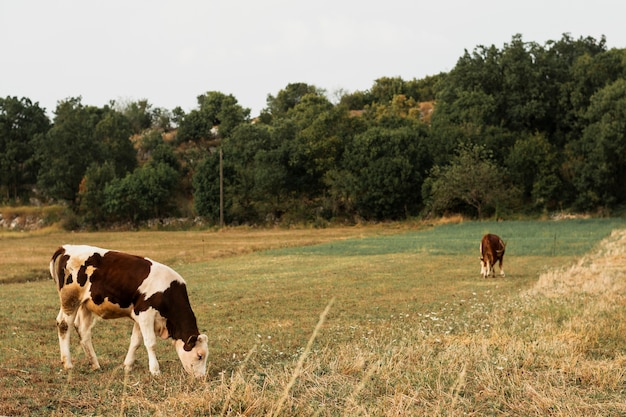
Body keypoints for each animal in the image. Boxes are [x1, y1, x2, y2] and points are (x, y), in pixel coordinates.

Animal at [48, 244, 208, 376]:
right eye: (200, 355)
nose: (202, 377)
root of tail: (68, 247)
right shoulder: (145, 313)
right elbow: (150, 342)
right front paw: (155, 370)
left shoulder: (139, 316)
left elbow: (135, 341)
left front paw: (127, 366)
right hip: (70, 299)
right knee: (64, 324)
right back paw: (68, 364)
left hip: (85, 304)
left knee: (83, 331)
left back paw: (95, 364)